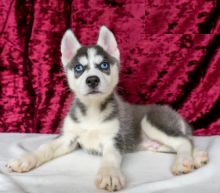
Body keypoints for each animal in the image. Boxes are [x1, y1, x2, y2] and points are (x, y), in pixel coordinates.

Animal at [7, 26, 208, 192]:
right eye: (79, 68)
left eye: (103, 65)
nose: (92, 80)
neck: (92, 111)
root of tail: (175, 114)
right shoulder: (68, 137)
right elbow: (45, 147)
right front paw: (25, 159)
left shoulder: (114, 139)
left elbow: (110, 157)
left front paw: (109, 174)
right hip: (157, 142)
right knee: (183, 142)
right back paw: (198, 156)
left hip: (152, 120)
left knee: (184, 141)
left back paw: (184, 161)